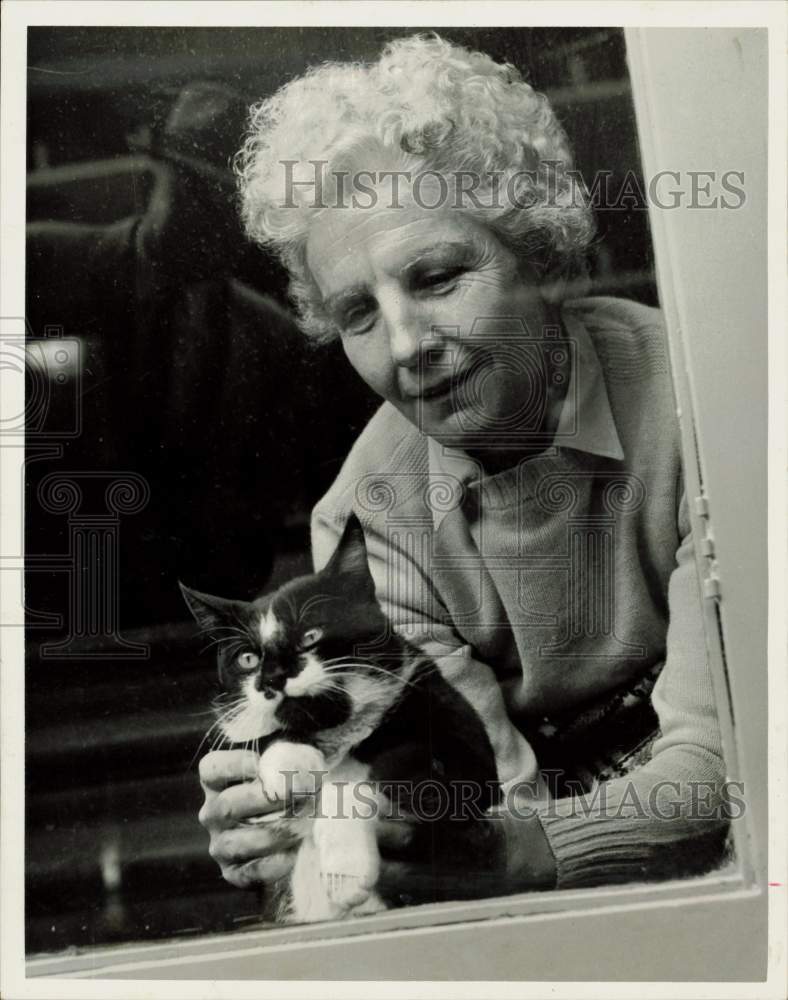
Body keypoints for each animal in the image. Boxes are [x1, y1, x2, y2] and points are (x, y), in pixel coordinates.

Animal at [182, 516, 502, 920]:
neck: (338, 728)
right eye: (248, 659)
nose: (273, 678)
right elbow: (261, 733)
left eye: (311, 636)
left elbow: (376, 769)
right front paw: (289, 763)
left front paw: (345, 872)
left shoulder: (464, 749)